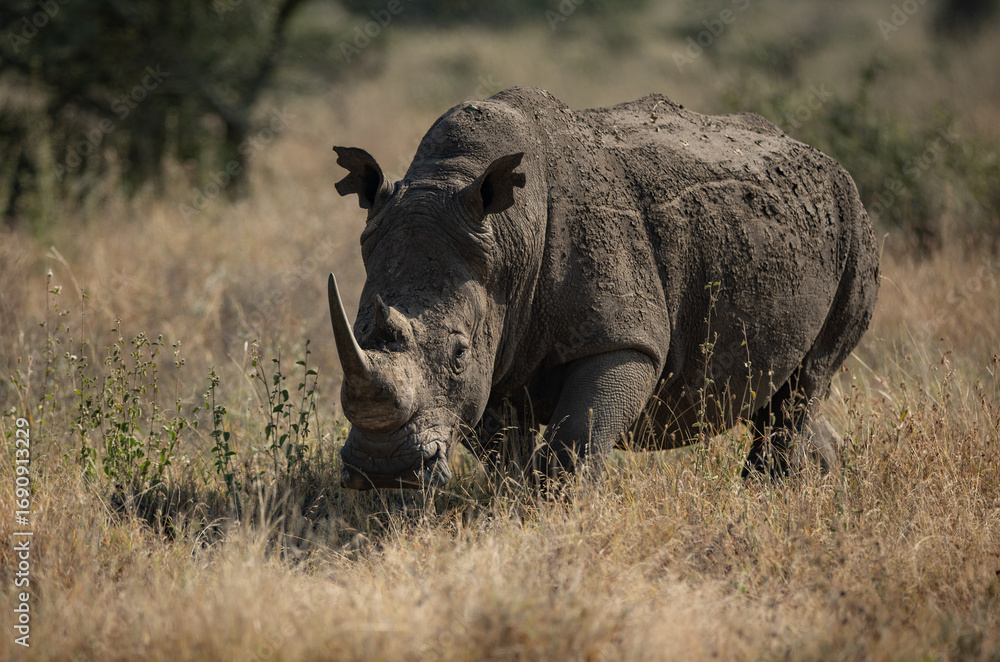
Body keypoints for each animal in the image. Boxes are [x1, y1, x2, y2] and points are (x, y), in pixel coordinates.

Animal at [328, 86, 879, 490]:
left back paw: (768, 493)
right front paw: (513, 506)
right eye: (355, 333)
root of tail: (831, 164)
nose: (383, 471)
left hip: (855, 228)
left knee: (806, 383)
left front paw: (556, 514)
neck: (506, 235)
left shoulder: (621, 340)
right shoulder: (496, 345)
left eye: (458, 353)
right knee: (786, 393)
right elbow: (504, 451)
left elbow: (576, 441)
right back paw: (820, 486)